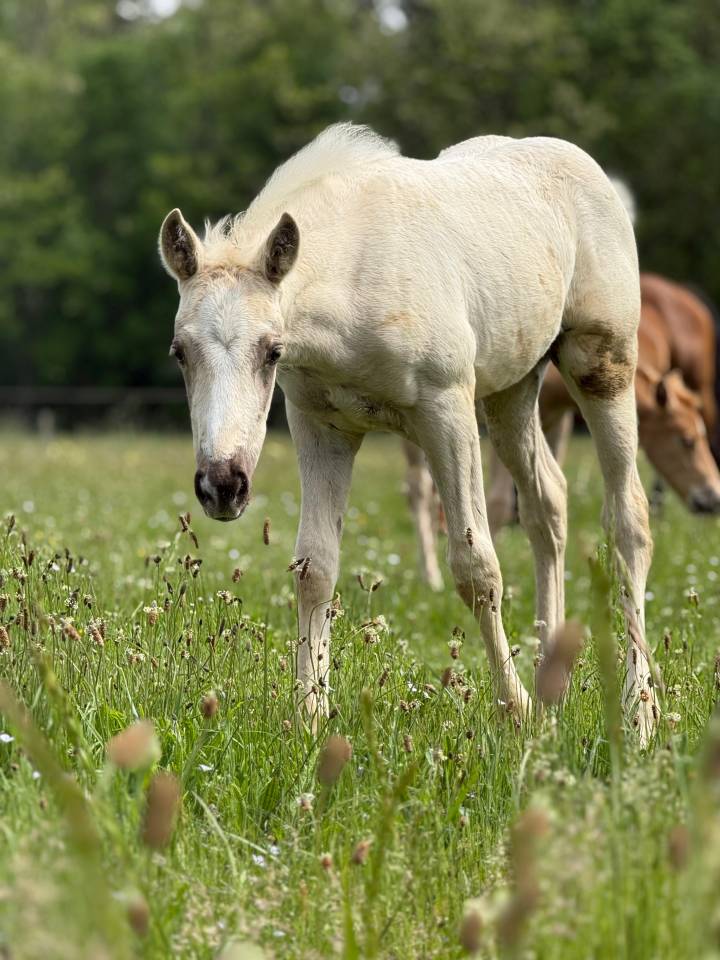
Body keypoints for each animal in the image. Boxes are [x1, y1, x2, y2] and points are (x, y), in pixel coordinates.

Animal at [159, 123, 655, 739]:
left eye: (272, 350)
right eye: (180, 352)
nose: (222, 485)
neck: (355, 272)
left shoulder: (447, 412)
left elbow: (476, 568)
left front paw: (514, 709)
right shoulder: (319, 425)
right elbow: (314, 566)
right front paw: (310, 715)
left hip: (602, 364)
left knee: (628, 521)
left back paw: (639, 714)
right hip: (511, 392)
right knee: (549, 503)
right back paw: (552, 684)